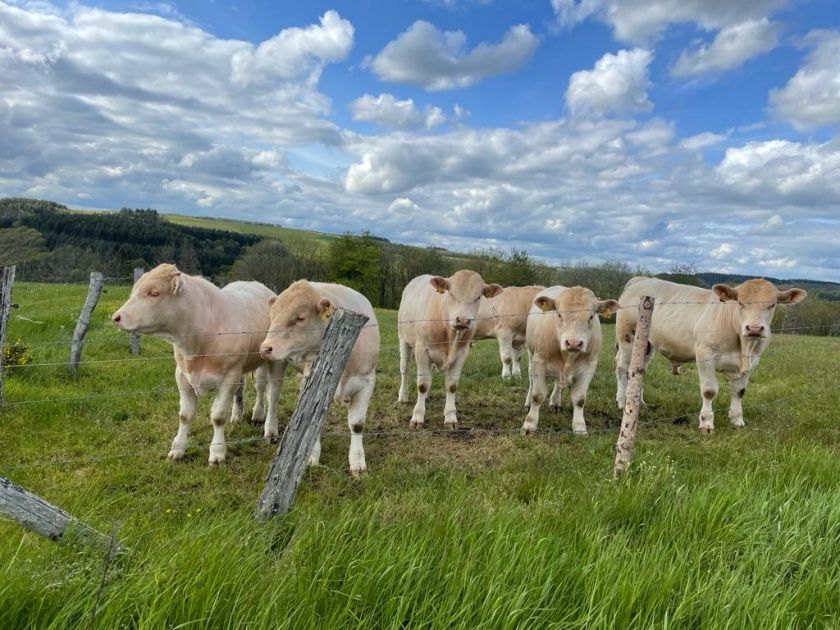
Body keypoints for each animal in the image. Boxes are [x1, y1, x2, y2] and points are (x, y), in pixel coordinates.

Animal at [110, 264, 286, 466]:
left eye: (153, 293)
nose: (116, 317)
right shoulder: (182, 375)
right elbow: (185, 415)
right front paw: (177, 449)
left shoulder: (229, 377)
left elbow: (218, 416)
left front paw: (217, 452)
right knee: (248, 388)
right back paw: (238, 415)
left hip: (274, 361)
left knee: (270, 392)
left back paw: (267, 425)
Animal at [258, 278, 378, 476]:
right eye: (272, 316)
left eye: (300, 318)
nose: (265, 348)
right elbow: (311, 420)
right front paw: (311, 457)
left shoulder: (367, 381)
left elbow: (357, 424)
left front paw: (357, 462)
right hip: (277, 365)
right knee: (273, 396)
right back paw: (271, 431)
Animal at [398, 270, 502, 430]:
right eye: (451, 293)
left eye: (478, 297)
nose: (463, 320)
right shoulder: (422, 349)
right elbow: (422, 384)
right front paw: (417, 417)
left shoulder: (462, 353)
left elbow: (452, 385)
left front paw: (450, 418)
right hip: (403, 338)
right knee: (405, 368)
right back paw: (403, 396)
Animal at [520, 288, 620, 436]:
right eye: (559, 314)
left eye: (591, 316)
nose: (573, 343)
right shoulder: (539, 363)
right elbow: (537, 396)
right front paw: (529, 425)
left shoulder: (588, 367)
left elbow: (579, 399)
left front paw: (579, 427)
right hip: (531, 355)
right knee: (531, 381)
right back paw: (527, 403)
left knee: (558, 384)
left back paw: (555, 403)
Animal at [616, 278, 808, 434]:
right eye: (740, 303)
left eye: (772, 304)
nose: (754, 328)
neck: (743, 349)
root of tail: (640, 279)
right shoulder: (705, 355)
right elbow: (709, 391)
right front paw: (706, 423)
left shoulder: (753, 361)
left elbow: (739, 391)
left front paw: (737, 420)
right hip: (627, 338)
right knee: (623, 368)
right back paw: (622, 401)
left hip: (646, 345)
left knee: (639, 370)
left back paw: (640, 402)